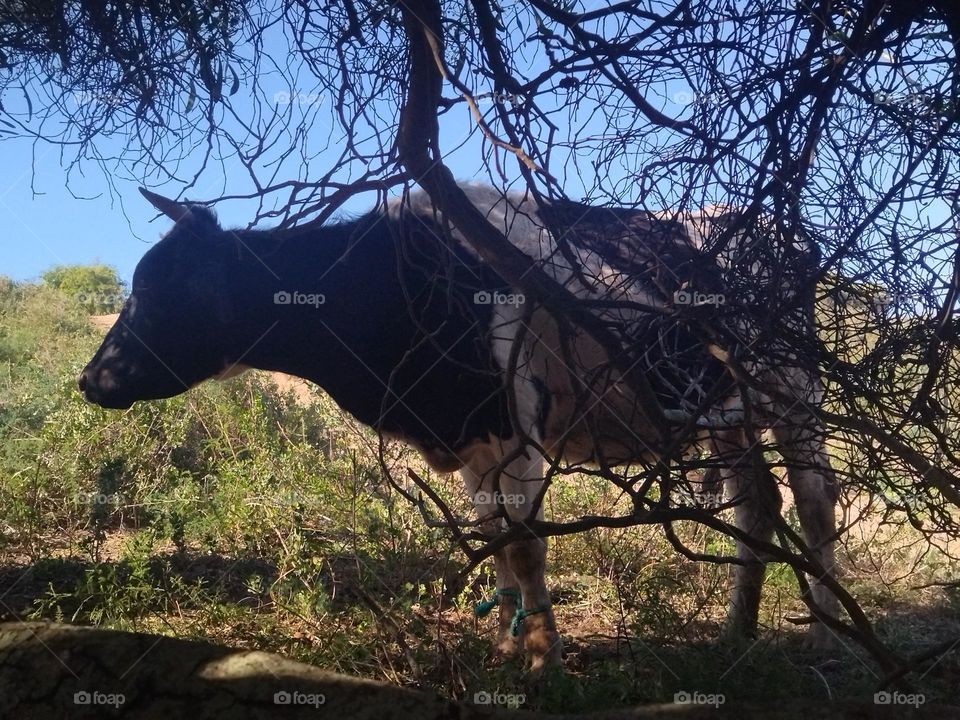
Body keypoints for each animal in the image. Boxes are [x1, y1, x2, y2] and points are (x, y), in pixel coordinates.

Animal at [79, 184, 836, 676]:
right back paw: (734, 634)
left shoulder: (511, 429)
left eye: (158, 288)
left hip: (793, 387)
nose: (91, 380)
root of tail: (779, 231)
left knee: (814, 496)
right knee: (757, 499)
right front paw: (506, 646)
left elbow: (525, 547)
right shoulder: (472, 440)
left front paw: (543, 662)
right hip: (725, 412)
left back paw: (827, 632)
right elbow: (493, 537)